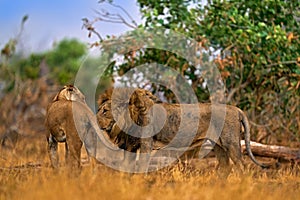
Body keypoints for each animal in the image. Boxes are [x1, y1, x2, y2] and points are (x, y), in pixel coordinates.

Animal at [97, 87, 268, 177]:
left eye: (105, 111)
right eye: (100, 110)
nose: (96, 121)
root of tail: (236, 109)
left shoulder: (145, 145)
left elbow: (140, 167)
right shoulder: (131, 146)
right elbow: (127, 166)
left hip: (231, 143)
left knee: (241, 167)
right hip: (218, 146)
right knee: (226, 167)